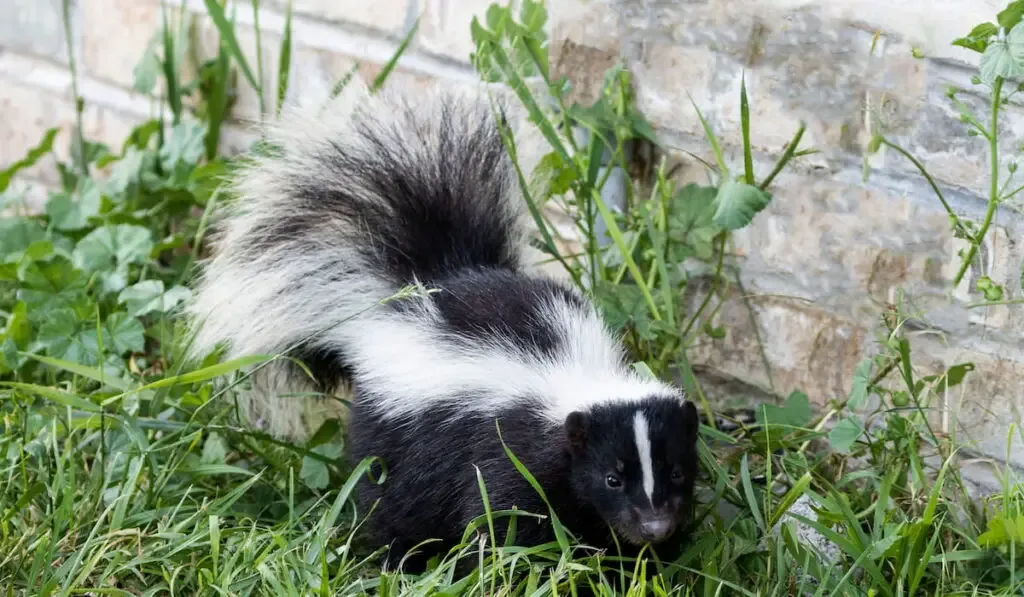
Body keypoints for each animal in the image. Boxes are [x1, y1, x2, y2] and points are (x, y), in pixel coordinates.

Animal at [186, 78, 704, 569]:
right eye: (612, 477)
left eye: (678, 471)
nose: (655, 526)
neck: (577, 376)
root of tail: (433, 280)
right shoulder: (508, 448)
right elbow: (505, 518)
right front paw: (515, 566)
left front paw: (639, 564)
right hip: (393, 436)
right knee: (393, 502)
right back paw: (398, 560)